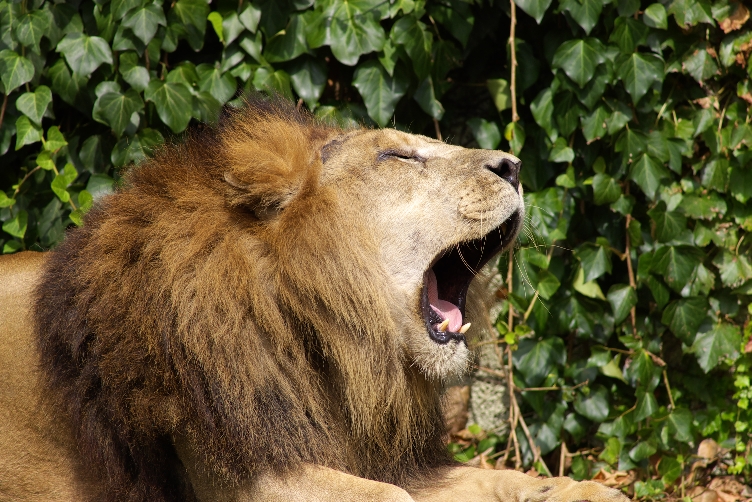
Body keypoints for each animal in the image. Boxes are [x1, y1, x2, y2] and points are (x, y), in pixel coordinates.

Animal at [0, 98, 628, 502]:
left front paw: (578, 490)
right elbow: (389, 498)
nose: (514, 166)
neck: (329, 341)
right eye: (399, 157)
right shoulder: (240, 472)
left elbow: (501, 478)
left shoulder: (387, 456)